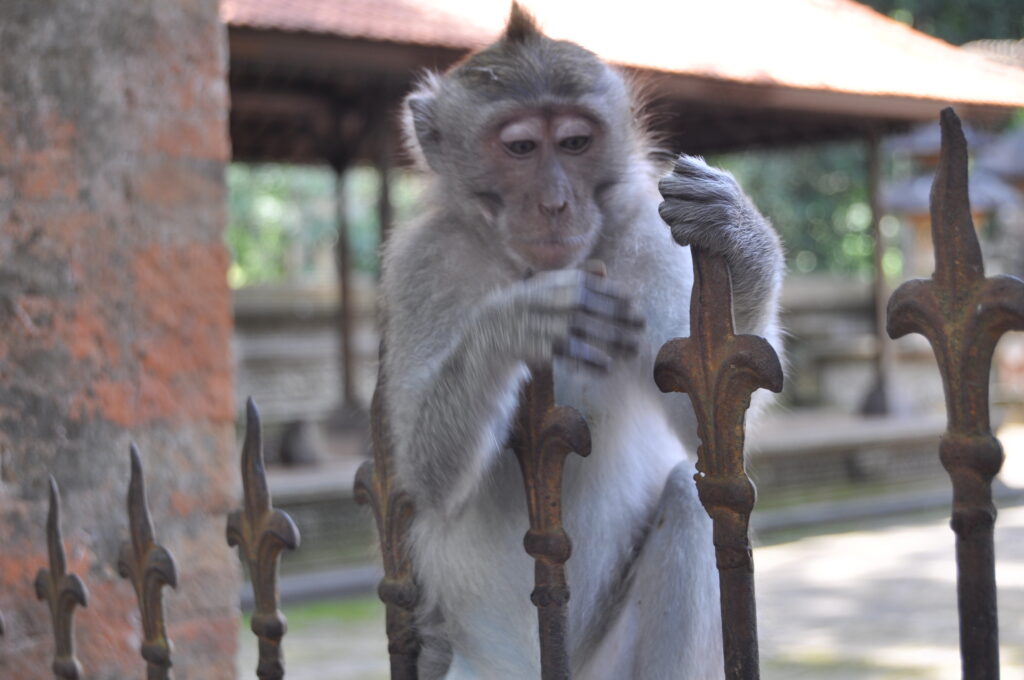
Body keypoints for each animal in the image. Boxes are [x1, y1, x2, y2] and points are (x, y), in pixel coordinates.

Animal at [378, 6, 782, 680]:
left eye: (574, 143)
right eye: (520, 147)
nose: (555, 203)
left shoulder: (644, 234)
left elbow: (703, 396)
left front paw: (740, 234)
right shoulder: (424, 265)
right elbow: (426, 476)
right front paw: (517, 321)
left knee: (690, 499)